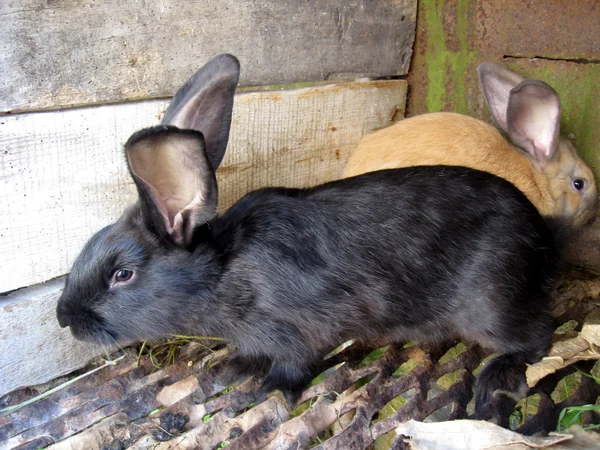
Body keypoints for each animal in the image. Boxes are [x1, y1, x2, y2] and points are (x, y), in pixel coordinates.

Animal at [56, 52, 556, 412]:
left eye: (122, 275)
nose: (64, 318)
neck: (224, 271)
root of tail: (541, 232)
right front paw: (233, 368)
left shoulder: (303, 328)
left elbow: (294, 363)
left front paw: (271, 391)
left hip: (488, 304)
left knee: (535, 339)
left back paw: (495, 380)